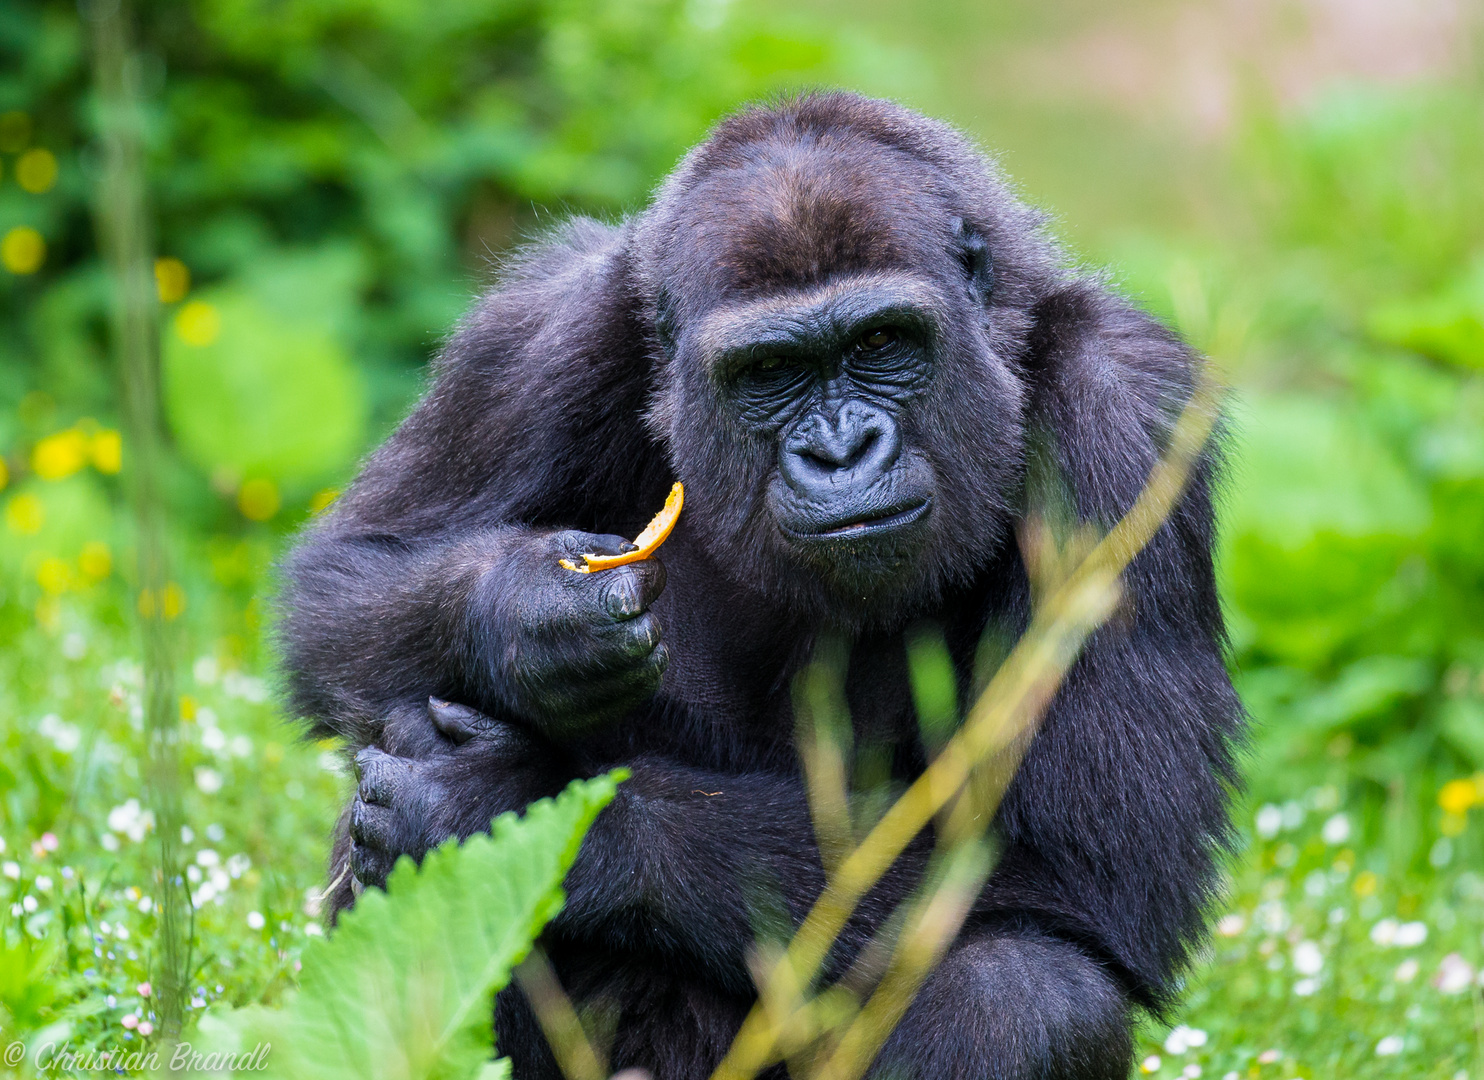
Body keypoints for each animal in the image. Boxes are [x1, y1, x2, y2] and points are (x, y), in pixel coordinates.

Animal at [280, 92, 1240, 1080]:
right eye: (771, 371)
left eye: (883, 341)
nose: (842, 452)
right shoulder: (551, 322)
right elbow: (352, 572)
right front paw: (529, 619)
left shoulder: (1120, 415)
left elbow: (1092, 864)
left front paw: (506, 801)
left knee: (1024, 990)